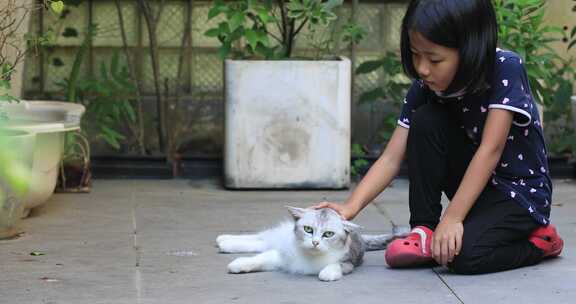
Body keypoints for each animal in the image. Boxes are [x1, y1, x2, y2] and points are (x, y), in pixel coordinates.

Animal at [216, 205, 410, 282]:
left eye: (328, 234)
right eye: (308, 229)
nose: (315, 242)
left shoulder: (349, 262)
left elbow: (337, 265)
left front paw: (328, 273)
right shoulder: (282, 254)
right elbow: (259, 259)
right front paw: (239, 264)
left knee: (259, 242)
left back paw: (224, 242)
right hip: (277, 237)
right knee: (260, 238)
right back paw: (224, 239)